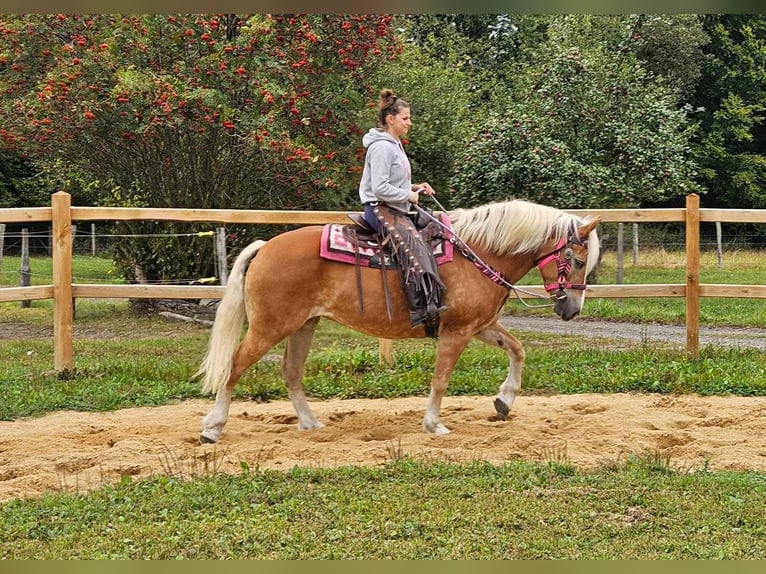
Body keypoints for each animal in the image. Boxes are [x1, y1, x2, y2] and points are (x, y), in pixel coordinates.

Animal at [195, 200, 604, 444]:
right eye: (578, 260)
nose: (572, 309)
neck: (479, 252)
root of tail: (265, 248)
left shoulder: (479, 326)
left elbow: (517, 350)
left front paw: (504, 402)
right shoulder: (456, 332)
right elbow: (440, 379)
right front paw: (434, 424)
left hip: (303, 325)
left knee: (291, 371)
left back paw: (310, 424)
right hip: (270, 327)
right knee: (234, 365)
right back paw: (213, 428)